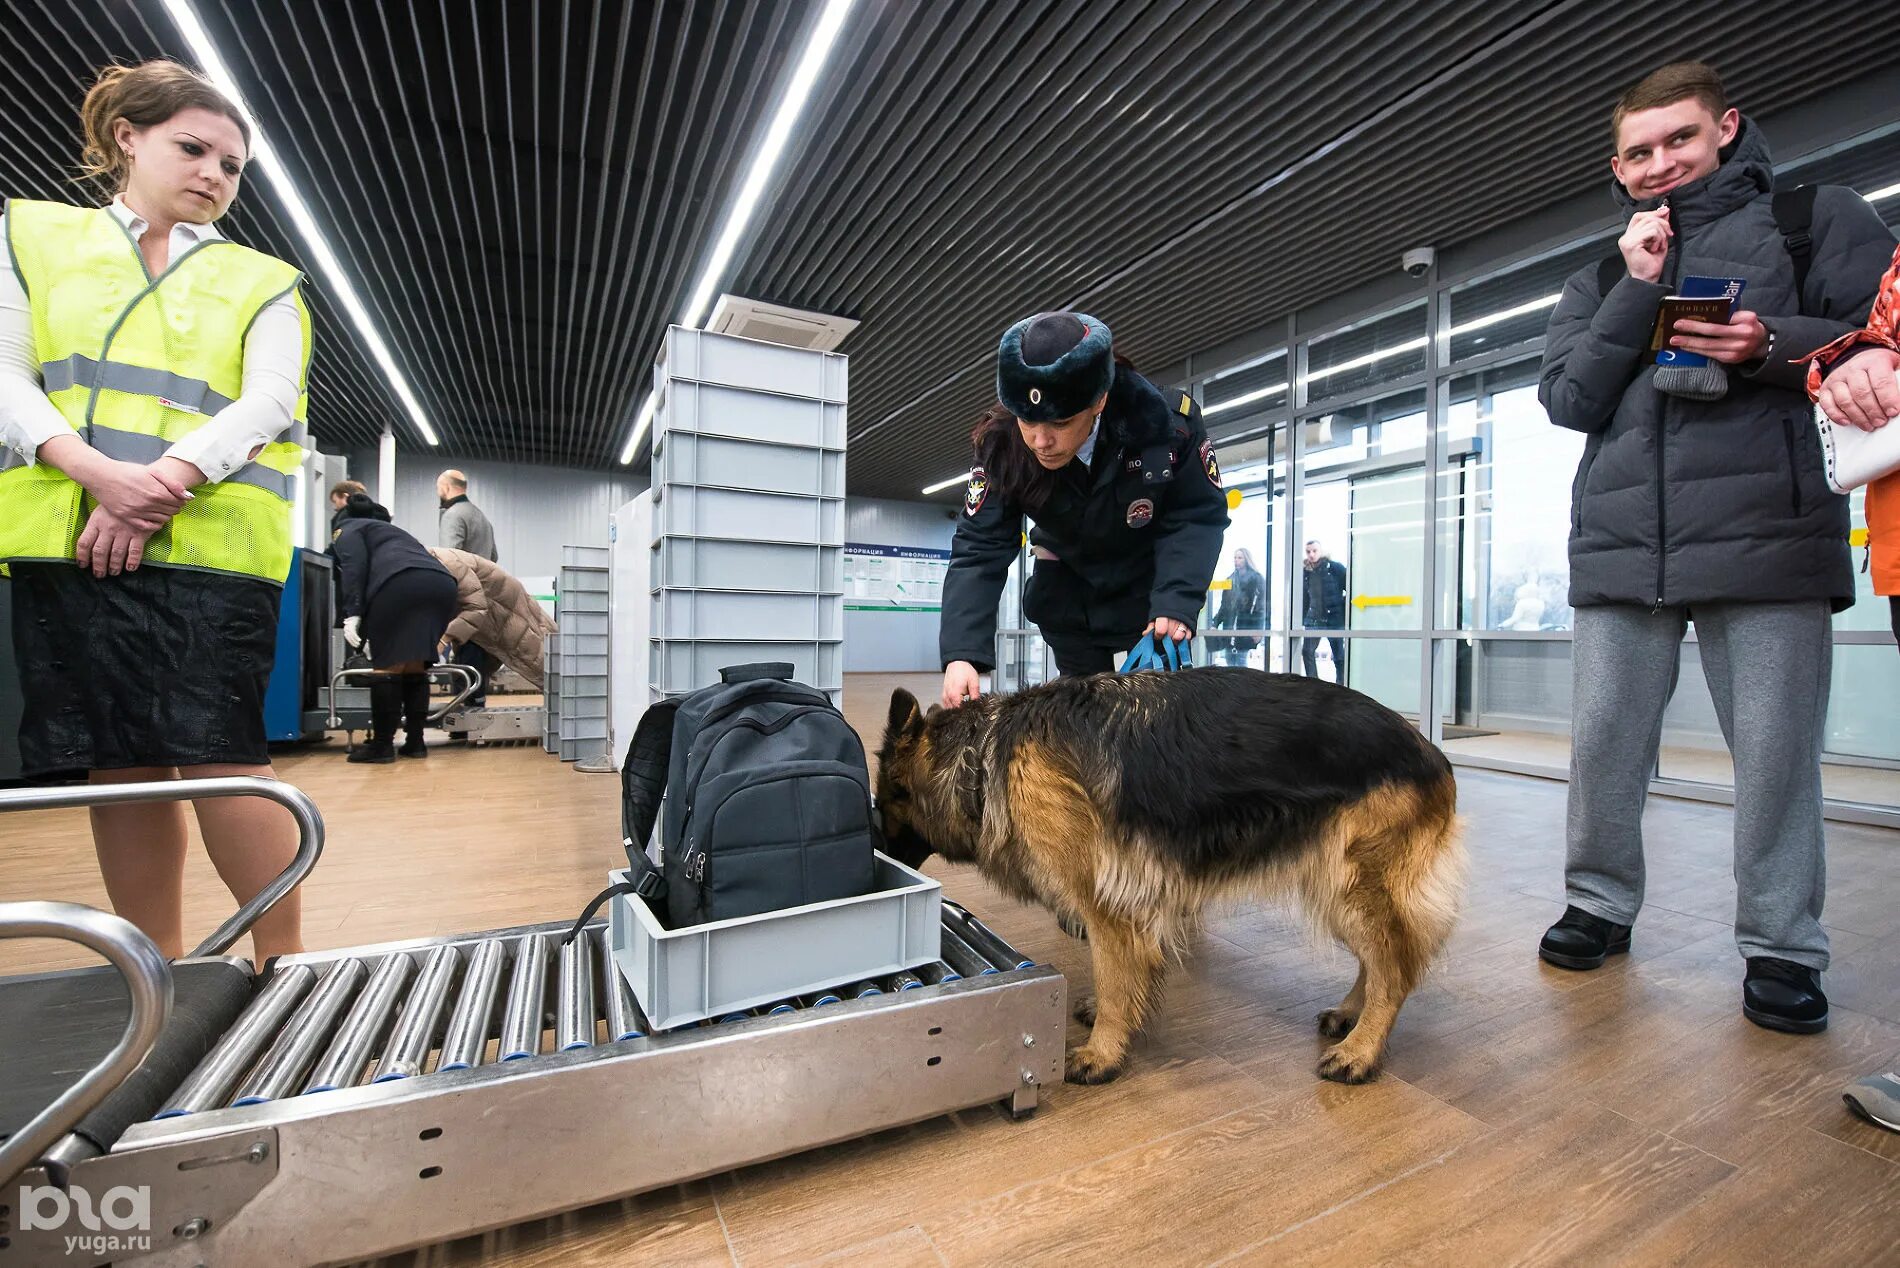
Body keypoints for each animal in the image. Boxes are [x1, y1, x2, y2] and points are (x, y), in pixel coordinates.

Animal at [877, 669, 1466, 1087]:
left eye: (880, 805)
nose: (873, 855)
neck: (983, 757)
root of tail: (1431, 750)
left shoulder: (1104, 902)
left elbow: (1115, 975)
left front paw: (1103, 1053)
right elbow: (1124, 975)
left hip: (1350, 887)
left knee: (1395, 970)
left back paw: (1360, 1052)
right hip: (1337, 889)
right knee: (1382, 959)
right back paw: (1350, 1016)